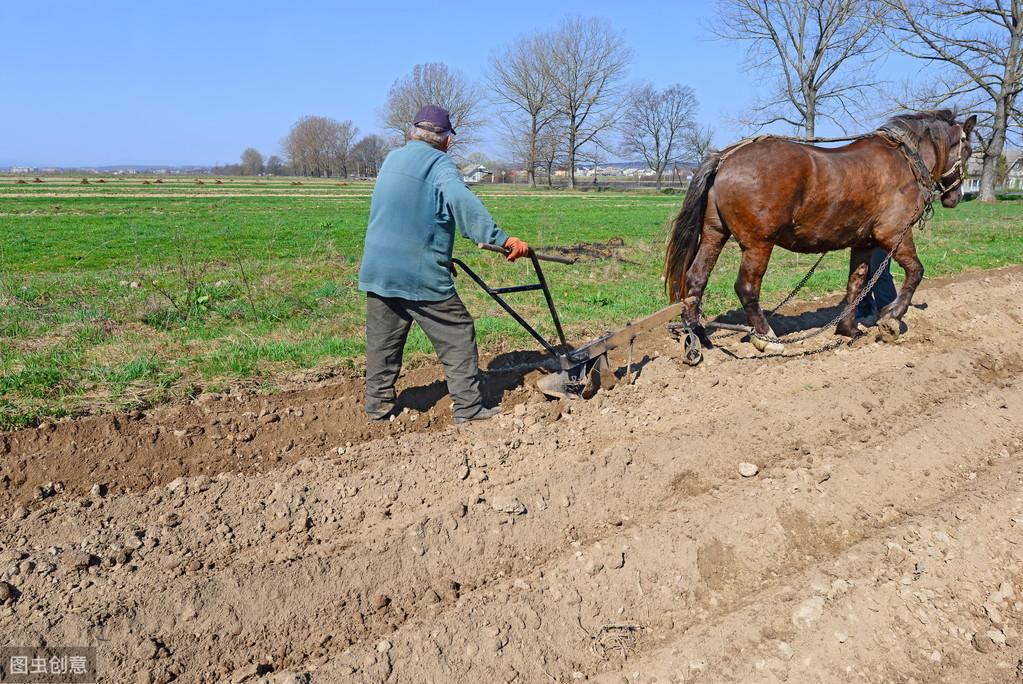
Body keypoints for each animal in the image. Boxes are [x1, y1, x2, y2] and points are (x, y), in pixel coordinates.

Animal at [666, 110, 977, 351]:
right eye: (969, 150)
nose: (956, 196)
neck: (904, 162)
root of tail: (725, 159)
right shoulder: (894, 234)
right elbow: (916, 272)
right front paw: (892, 317)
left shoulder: (864, 243)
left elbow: (856, 284)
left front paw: (849, 329)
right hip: (758, 243)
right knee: (747, 288)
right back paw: (766, 338)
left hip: (714, 233)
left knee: (696, 279)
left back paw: (698, 335)